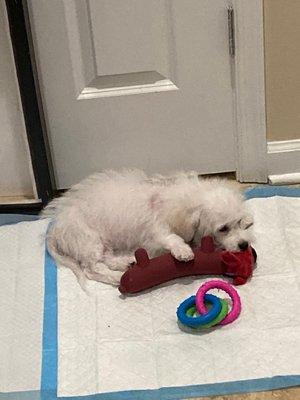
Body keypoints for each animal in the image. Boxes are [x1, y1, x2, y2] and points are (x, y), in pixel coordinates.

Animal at [42, 170, 253, 286]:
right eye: (223, 228)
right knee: (91, 268)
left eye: (238, 222)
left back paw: (126, 263)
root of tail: (55, 227)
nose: (244, 245)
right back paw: (116, 278)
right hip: (90, 241)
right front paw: (183, 251)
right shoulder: (156, 230)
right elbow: (172, 238)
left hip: (103, 242)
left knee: (106, 259)